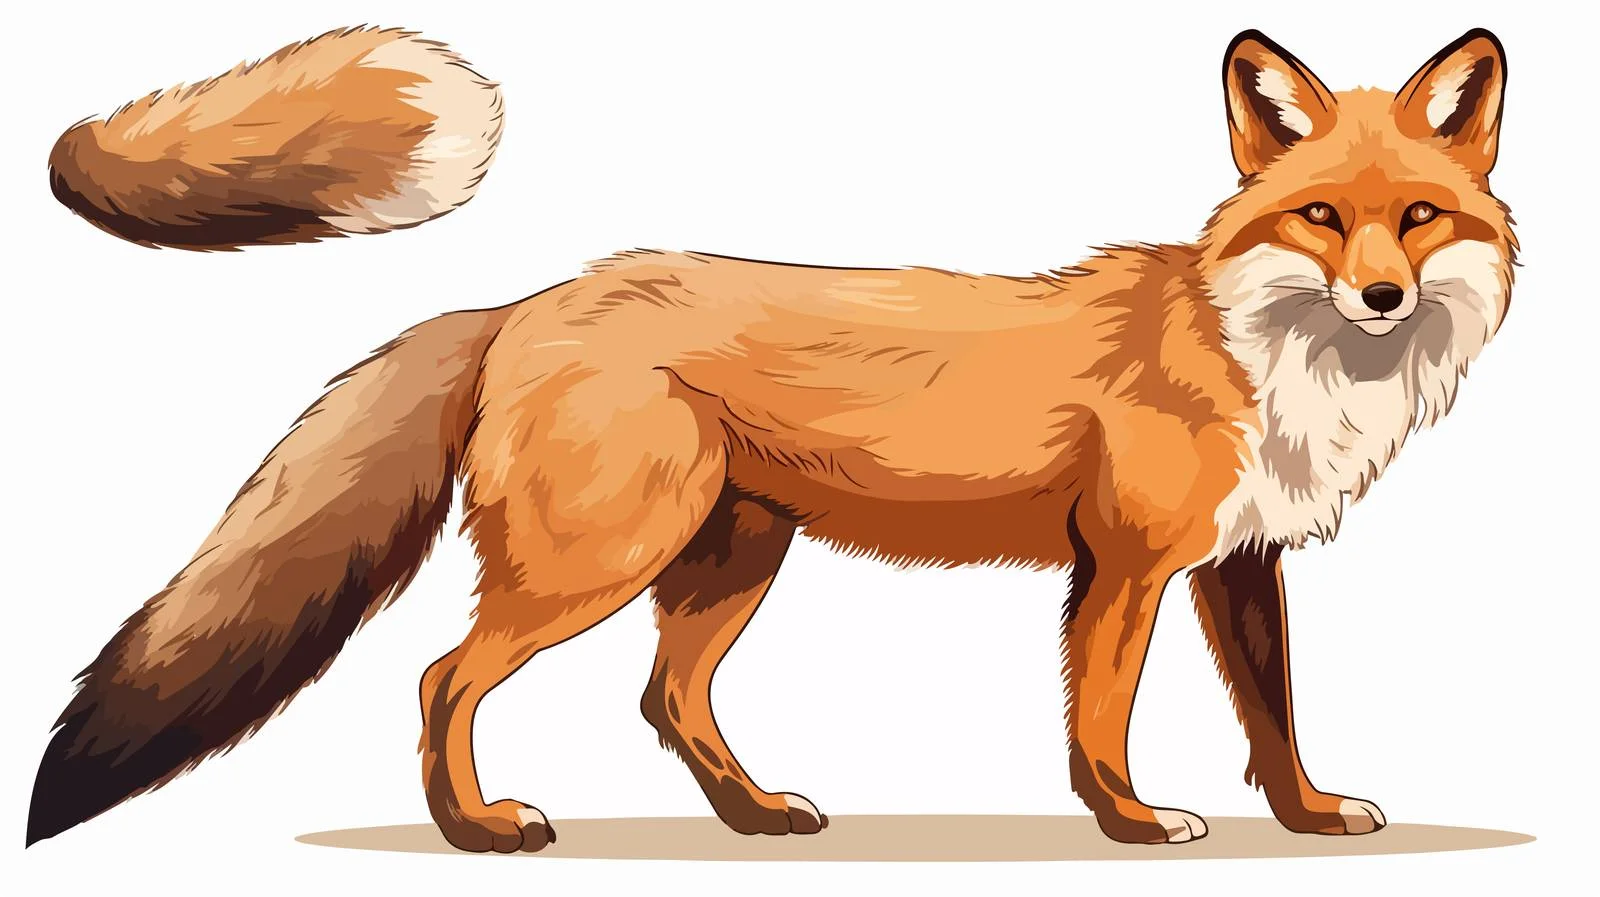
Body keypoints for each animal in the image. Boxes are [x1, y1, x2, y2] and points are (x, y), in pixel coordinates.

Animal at [28, 26, 1514, 852]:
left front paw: (1309, 819)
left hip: (727, 560)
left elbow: (1277, 719)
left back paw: (750, 820)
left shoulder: (1240, 566)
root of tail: (527, 297)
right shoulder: (1128, 568)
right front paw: (1134, 824)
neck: (1267, 356)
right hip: (600, 560)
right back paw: (477, 829)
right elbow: (1103, 720)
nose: (1381, 297)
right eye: (1321, 218)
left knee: (664, 699)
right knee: (446, 677)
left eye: (1416, 218)